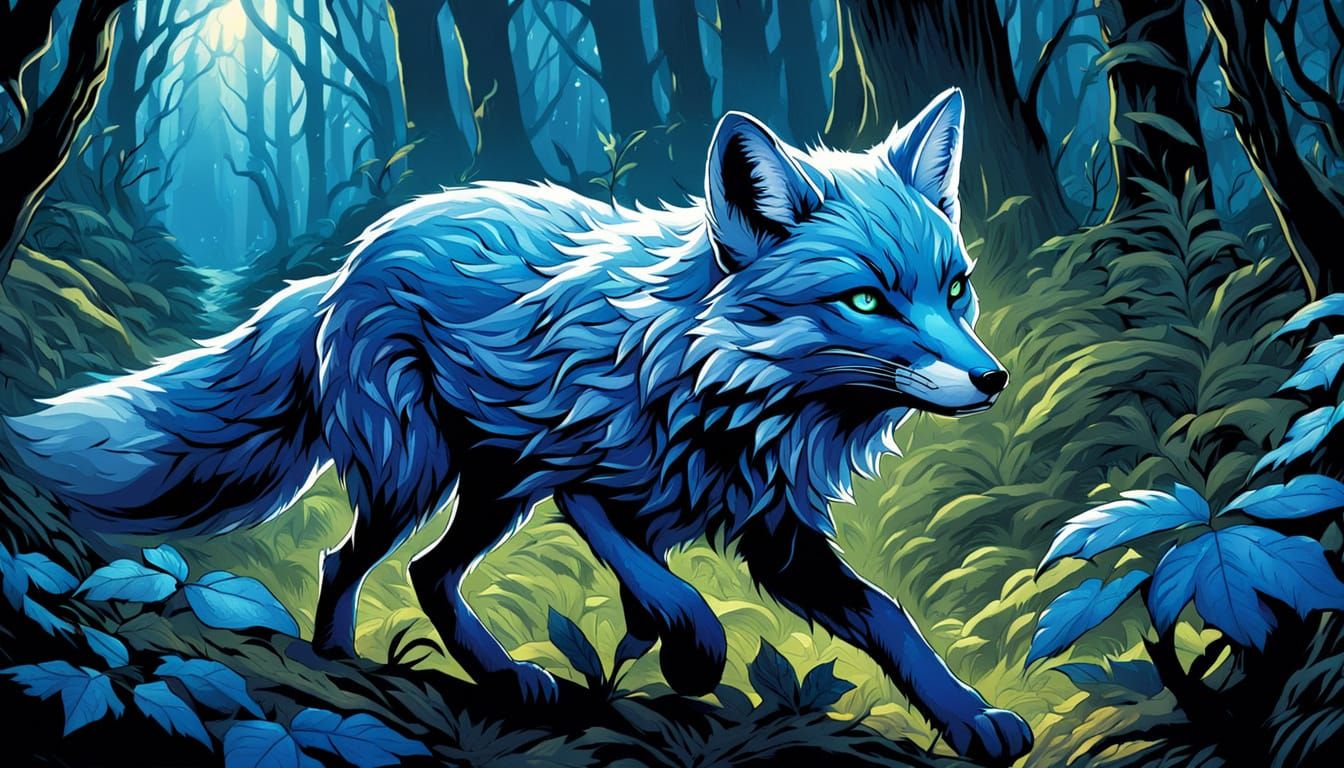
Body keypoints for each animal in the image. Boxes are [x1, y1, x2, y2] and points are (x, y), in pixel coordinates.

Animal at [5, 88, 1030, 762]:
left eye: (954, 289)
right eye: (864, 301)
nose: (993, 378)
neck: (722, 392)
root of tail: (344, 267)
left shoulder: (777, 532)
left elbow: (888, 618)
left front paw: (969, 718)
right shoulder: (582, 480)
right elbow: (674, 591)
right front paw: (690, 655)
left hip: (491, 493)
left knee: (425, 573)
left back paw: (494, 675)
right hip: (427, 474)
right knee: (349, 561)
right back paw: (340, 662)